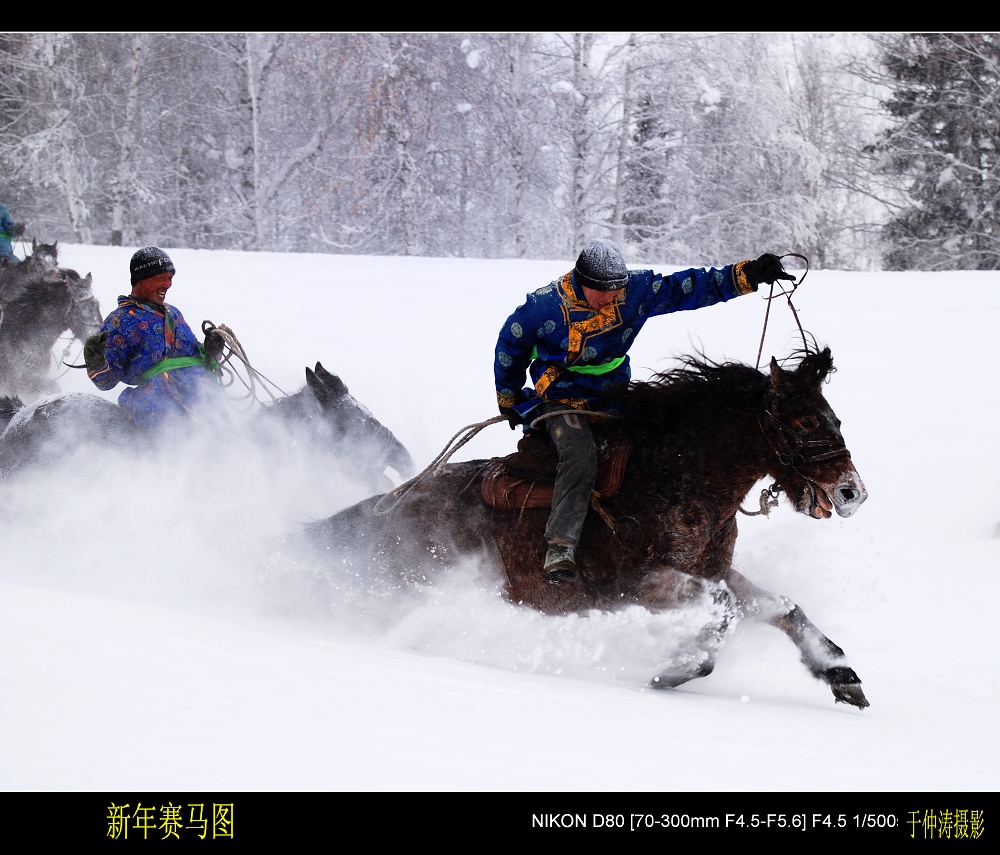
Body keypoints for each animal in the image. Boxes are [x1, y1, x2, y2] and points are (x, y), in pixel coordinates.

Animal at [300, 348, 872, 708]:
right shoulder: (637, 586)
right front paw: (677, 669)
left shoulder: (714, 570)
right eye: (803, 422)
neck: (675, 478)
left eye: (835, 418)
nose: (853, 493)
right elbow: (723, 610)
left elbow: (782, 608)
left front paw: (840, 674)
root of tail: (391, 508)